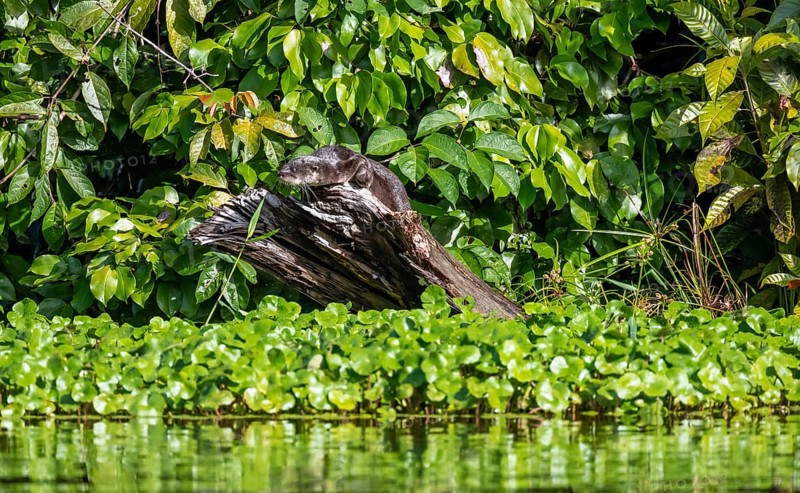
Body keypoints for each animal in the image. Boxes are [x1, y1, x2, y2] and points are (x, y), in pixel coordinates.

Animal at [277, 145, 412, 211]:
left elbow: (364, 164)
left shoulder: (353, 160)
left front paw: (364, 182)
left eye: (294, 170)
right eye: (284, 166)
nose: (280, 173)